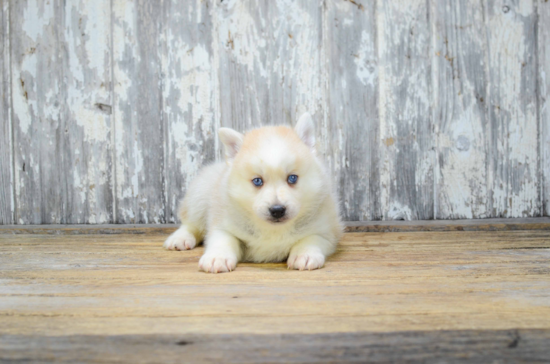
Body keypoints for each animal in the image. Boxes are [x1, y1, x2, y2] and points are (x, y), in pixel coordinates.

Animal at [164, 112, 344, 272]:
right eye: (257, 181)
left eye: (292, 178)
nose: (277, 210)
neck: (272, 230)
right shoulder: (222, 224)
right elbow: (223, 240)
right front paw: (217, 258)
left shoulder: (327, 230)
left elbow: (311, 239)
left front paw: (304, 255)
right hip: (199, 195)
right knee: (190, 223)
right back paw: (179, 238)